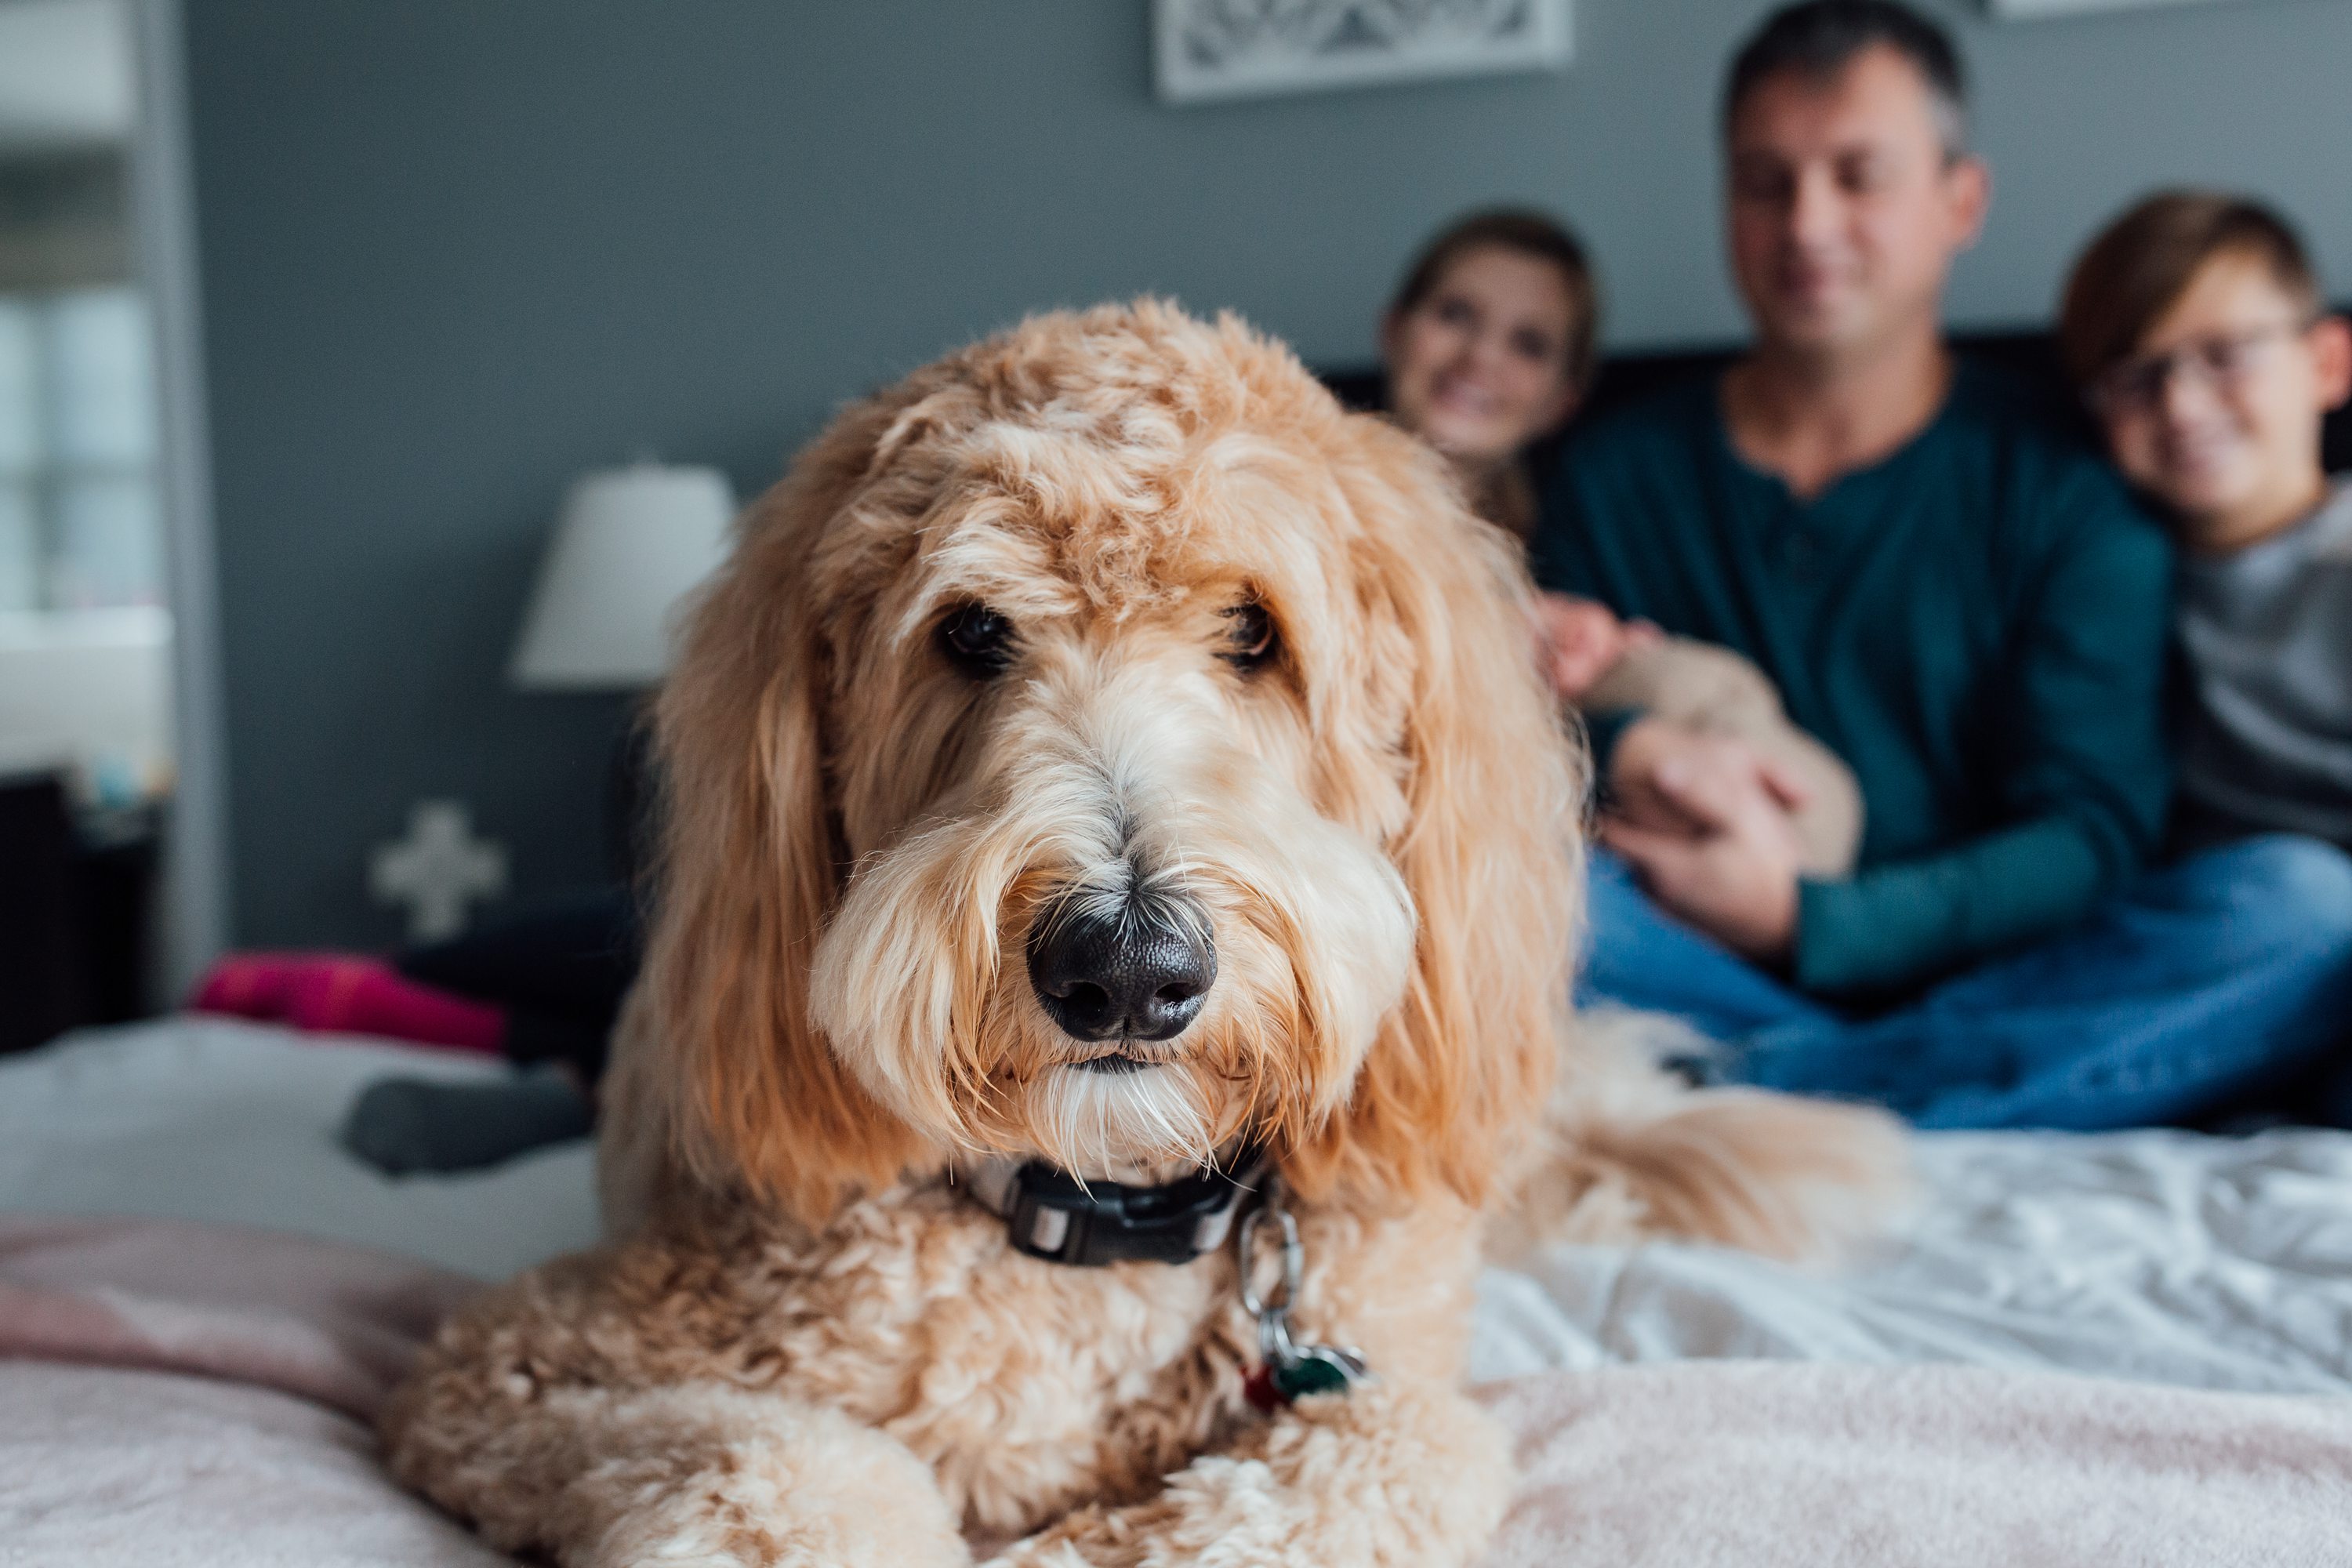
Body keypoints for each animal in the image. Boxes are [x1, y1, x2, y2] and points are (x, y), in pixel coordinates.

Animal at [376, 300, 1900, 1561]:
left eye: (1252, 631)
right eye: (971, 633)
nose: (1123, 969)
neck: (1104, 1216)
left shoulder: (1382, 1388)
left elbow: (1374, 1451)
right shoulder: (521, 1362)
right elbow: (804, 1471)